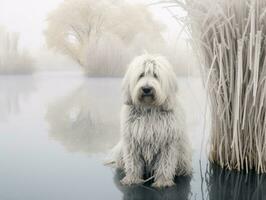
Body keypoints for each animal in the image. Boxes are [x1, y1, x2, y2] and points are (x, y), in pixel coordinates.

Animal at [111, 54, 192, 188]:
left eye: (155, 75)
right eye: (141, 75)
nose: (146, 89)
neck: (149, 109)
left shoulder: (167, 143)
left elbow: (165, 163)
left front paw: (163, 181)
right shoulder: (132, 141)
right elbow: (133, 162)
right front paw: (132, 178)